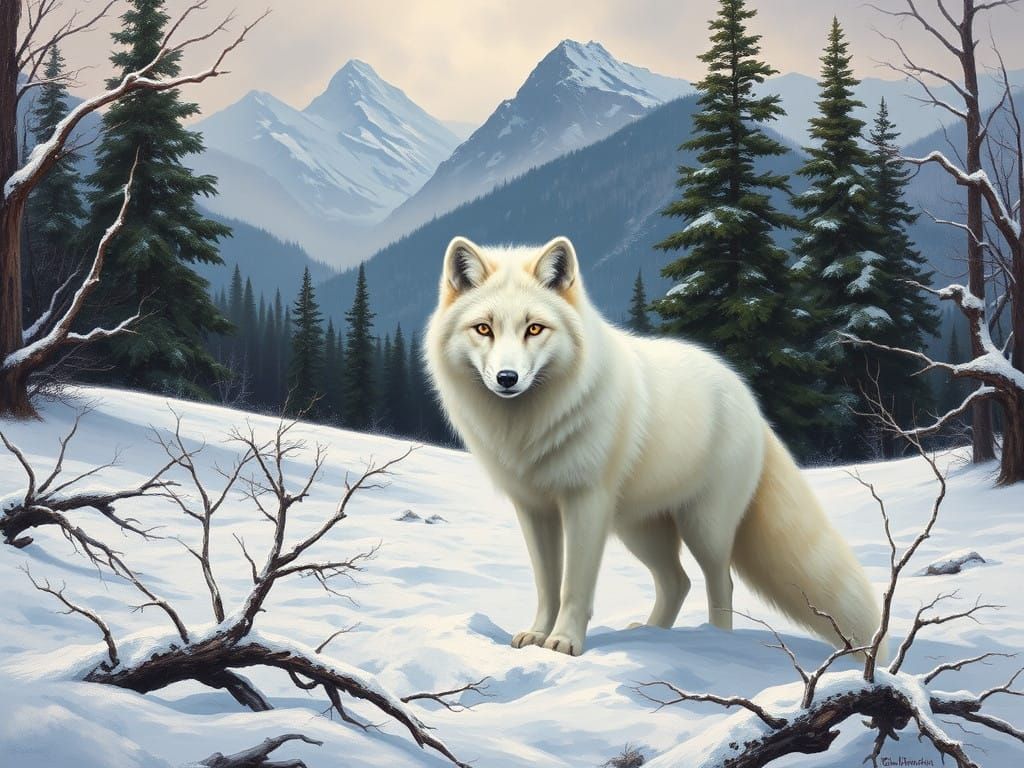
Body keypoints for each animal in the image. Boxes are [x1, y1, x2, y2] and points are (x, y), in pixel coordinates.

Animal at [425, 235, 883, 658]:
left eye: (534, 328)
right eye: (484, 329)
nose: (507, 378)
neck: (529, 427)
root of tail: (749, 400)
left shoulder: (585, 502)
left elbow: (575, 585)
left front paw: (566, 642)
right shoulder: (534, 509)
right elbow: (547, 584)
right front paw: (538, 635)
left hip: (703, 527)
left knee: (720, 581)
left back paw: (717, 641)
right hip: (639, 530)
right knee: (677, 581)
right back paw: (651, 633)